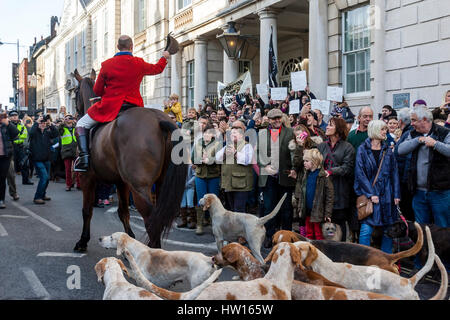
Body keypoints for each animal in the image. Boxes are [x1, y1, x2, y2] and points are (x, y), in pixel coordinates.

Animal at [72, 69, 188, 250]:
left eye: (76, 92)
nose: (76, 112)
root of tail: (158, 120)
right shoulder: (121, 182)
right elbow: (123, 212)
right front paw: (128, 240)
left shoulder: (86, 178)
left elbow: (87, 211)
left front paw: (82, 241)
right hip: (161, 183)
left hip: (139, 187)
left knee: (151, 220)